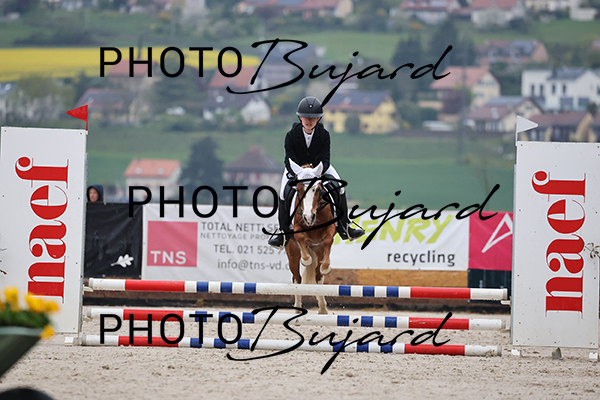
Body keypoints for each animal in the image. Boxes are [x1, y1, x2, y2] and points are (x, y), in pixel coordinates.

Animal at [285, 160, 337, 314]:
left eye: (318, 189)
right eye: (299, 190)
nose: (308, 217)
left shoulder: (331, 229)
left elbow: (328, 240)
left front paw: (326, 267)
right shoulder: (296, 228)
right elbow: (301, 238)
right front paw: (306, 260)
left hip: (318, 252)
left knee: (318, 278)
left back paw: (323, 309)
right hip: (292, 254)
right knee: (297, 278)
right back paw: (297, 310)